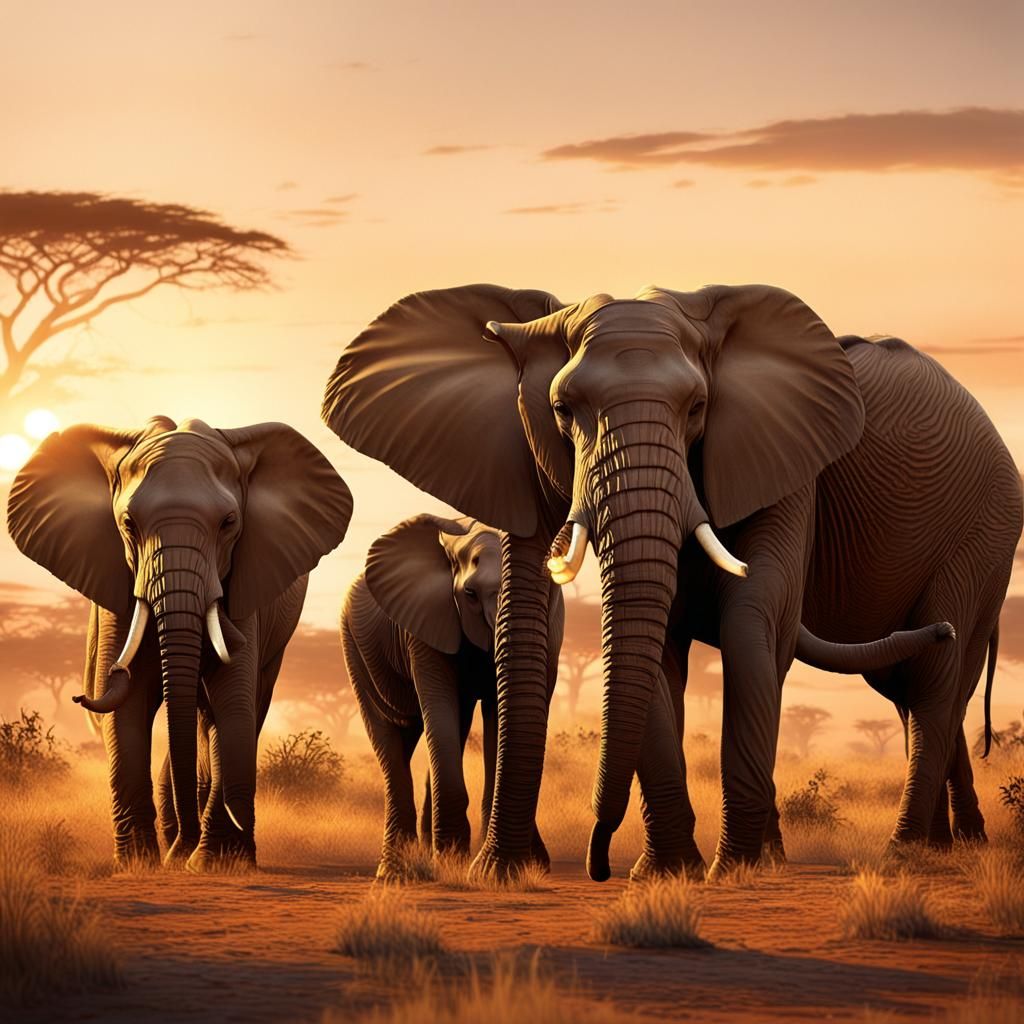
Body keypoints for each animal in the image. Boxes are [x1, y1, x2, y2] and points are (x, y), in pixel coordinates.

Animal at [7, 416, 353, 869]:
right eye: (128, 525)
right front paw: (137, 865)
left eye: (228, 523)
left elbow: (232, 702)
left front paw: (216, 863)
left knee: (233, 709)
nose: (78, 698)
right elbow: (130, 703)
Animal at [341, 513, 564, 879]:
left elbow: (497, 716)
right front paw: (451, 860)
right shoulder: (424, 619)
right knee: (391, 733)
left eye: (547, 590)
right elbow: (440, 702)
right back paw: (396, 870)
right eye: (470, 594)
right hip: (354, 645)